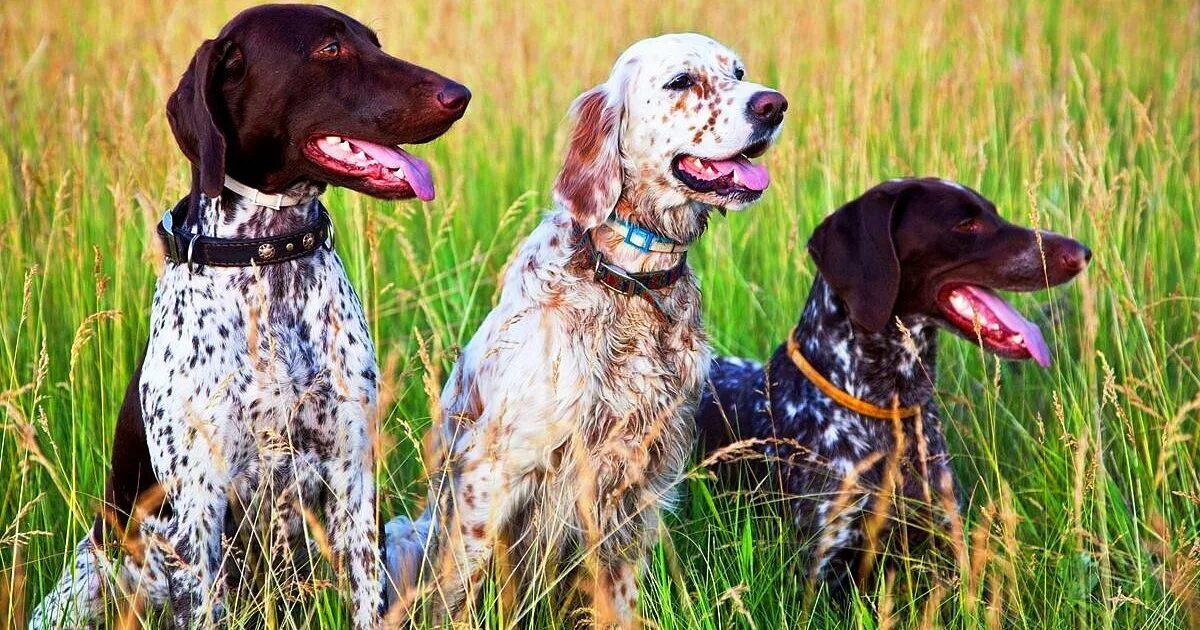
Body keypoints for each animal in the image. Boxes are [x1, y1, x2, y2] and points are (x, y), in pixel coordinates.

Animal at [28, 6, 468, 628]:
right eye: (330, 49)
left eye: (374, 43)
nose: (460, 94)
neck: (269, 257)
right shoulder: (199, 510)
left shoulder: (354, 481)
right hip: (86, 581)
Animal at [381, 34, 787, 624]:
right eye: (681, 81)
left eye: (738, 72)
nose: (774, 105)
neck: (629, 282)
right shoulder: (491, 477)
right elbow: (452, 600)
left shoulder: (640, 490)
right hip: (406, 535)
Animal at [691, 177, 1094, 590]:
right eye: (966, 225)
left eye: (994, 214)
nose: (1081, 253)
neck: (888, 407)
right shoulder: (822, 570)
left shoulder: (946, 547)